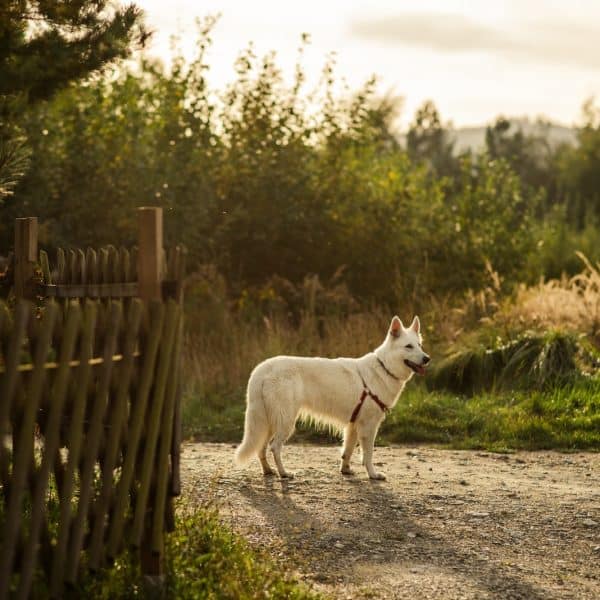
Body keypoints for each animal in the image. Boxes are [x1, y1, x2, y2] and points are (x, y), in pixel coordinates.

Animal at [234, 314, 432, 478]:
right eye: (408, 346)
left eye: (420, 345)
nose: (427, 359)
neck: (384, 367)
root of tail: (262, 369)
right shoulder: (368, 426)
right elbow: (367, 455)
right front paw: (373, 475)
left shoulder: (353, 425)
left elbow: (347, 451)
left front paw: (346, 470)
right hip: (285, 421)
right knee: (274, 447)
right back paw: (284, 473)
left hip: (267, 421)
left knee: (261, 448)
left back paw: (268, 471)